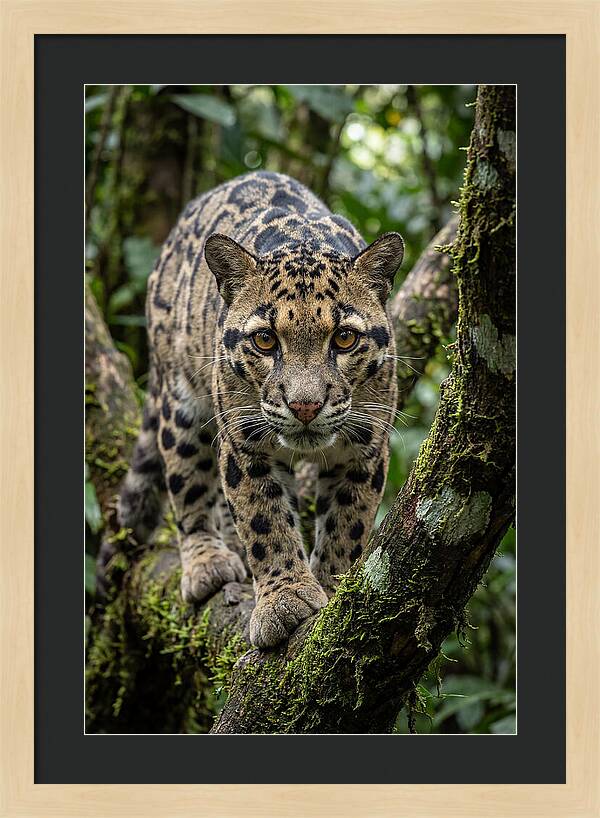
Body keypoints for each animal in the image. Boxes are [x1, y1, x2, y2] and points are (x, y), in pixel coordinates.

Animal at [118, 170, 404, 649]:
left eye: (344, 338)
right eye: (265, 340)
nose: (305, 405)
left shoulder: (365, 445)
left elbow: (348, 522)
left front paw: (333, 586)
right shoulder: (244, 442)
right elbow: (264, 520)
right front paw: (284, 601)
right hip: (180, 401)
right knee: (187, 483)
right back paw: (208, 562)